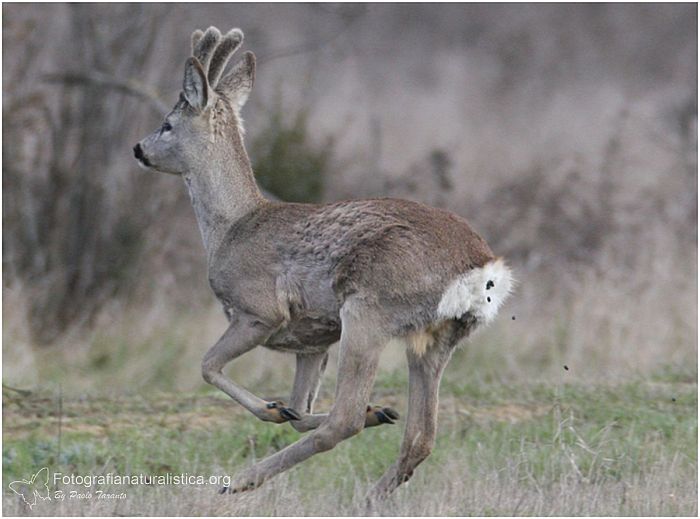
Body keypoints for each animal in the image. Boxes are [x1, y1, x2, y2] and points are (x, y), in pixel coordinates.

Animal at [133, 26, 516, 502]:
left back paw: (240, 481)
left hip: (368, 312)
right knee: (421, 435)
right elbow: (299, 408)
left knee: (343, 421)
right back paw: (371, 492)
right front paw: (360, 411)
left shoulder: (259, 311)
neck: (232, 226)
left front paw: (273, 410)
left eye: (167, 123)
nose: (139, 148)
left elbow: (208, 366)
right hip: (437, 338)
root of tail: (484, 270)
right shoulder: (311, 342)